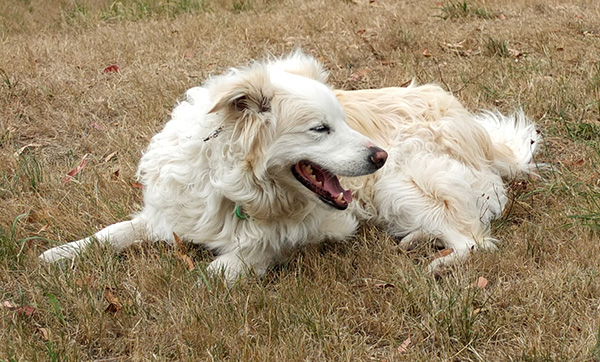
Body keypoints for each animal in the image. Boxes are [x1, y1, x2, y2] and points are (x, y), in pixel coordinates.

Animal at [41, 51, 540, 280]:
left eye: (342, 121)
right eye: (321, 128)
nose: (379, 154)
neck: (236, 188)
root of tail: (484, 137)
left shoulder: (321, 226)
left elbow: (237, 260)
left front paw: (211, 274)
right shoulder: (171, 212)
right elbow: (113, 232)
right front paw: (62, 253)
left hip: (402, 183)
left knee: (476, 239)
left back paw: (437, 262)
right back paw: (414, 241)